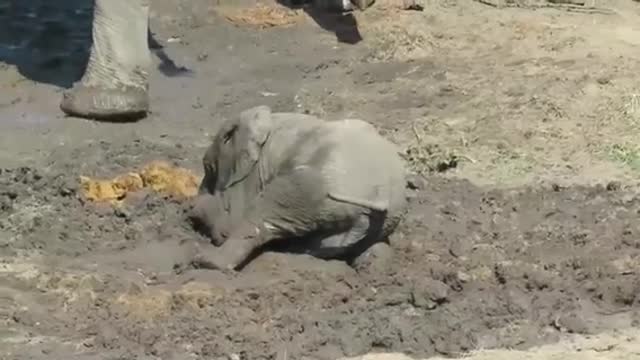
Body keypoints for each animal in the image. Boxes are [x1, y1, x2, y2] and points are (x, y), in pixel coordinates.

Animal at [190, 104, 408, 270]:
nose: (190, 210)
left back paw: (204, 260)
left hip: (305, 191)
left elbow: (233, 221)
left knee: (258, 217)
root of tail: (380, 195)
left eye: (208, 168)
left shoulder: (252, 174)